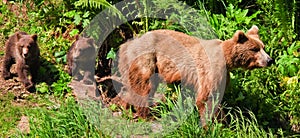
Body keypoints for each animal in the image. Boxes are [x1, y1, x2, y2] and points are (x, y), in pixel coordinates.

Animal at [109, 24, 272, 126]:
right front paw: (213, 125)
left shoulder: (223, 75)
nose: (270, 60)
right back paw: (145, 115)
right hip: (146, 58)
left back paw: (123, 106)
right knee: (143, 87)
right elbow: (206, 98)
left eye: (263, 46)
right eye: (254, 49)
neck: (227, 60)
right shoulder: (210, 70)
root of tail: (125, 45)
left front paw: (224, 121)